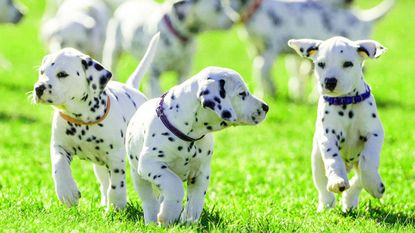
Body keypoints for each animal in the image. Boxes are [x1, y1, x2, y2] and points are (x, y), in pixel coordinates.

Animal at [31, 33, 159, 209]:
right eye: (42, 72)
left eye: (62, 74)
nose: (38, 88)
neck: (81, 120)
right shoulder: (59, 146)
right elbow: (59, 166)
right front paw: (66, 191)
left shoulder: (115, 156)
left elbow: (117, 183)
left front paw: (117, 204)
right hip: (99, 166)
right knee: (104, 183)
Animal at [126, 66, 270, 225]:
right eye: (242, 93)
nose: (266, 107)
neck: (189, 136)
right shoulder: (152, 164)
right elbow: (174, 184)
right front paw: (169, 214)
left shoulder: (202, 172)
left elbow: (196, 200)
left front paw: (188, 221)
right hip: (138, 176)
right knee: (149, 199)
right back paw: (152, 219)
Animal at [228, 0, 394, 99]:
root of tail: (363, 19)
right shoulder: (258, 50)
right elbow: (262, 71)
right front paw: (265, 92)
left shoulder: (270, 49)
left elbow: (261, 69)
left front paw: (268, 92)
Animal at [290, 36, 388, 211]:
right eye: (321, 64)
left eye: (348, 64)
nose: (330, 82)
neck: (346, 102)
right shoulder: (327, 136)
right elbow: (333, 159)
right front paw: (337, 180)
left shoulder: (374, 133)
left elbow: (368, 161)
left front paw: (373, 185)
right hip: (316, 161)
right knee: (323, 187)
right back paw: (326, 205)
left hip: (355, 164)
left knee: (358, 180)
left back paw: (353, 198)